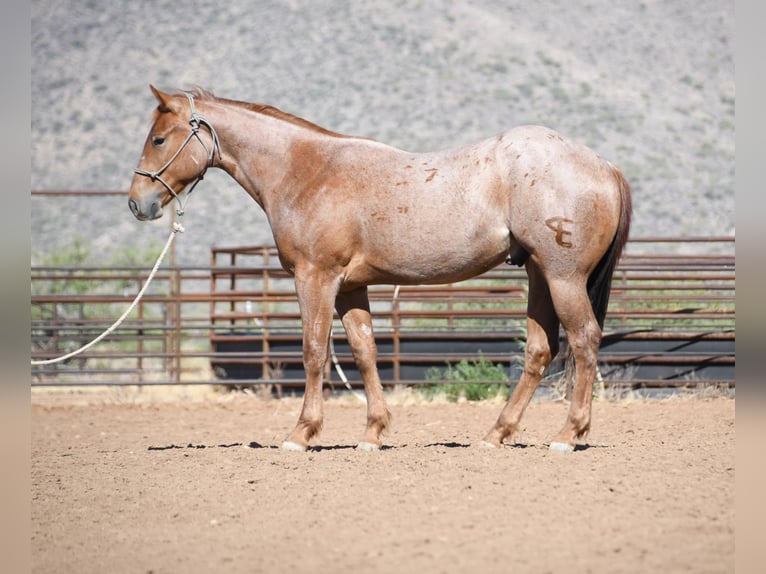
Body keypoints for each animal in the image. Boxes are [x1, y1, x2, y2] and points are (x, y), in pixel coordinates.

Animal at [128, 86, 632, 452]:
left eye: (159, 138)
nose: (138, 203)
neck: (308, 172)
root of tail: (604, 166)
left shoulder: (315, 279)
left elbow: (314, 351)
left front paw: (301, 433)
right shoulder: (351, 288)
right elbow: (364, 351)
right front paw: (372, 433)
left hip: (563, 278)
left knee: (584, 341)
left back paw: (567, 435)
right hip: (539, 277)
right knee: (540, 352)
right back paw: (496, 434)